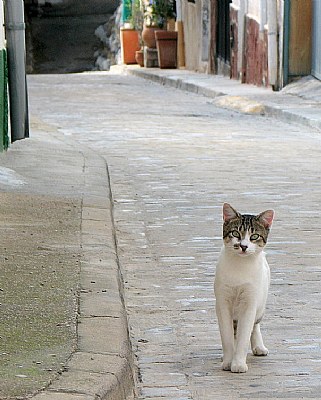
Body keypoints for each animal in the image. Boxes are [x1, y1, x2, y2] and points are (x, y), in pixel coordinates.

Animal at [214, 202, 274, 374]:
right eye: (235, 233)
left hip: (260, 306)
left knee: (255, 325)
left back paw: (259, 346)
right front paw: (228, 361)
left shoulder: (249, 302)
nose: (243, 246)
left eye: (254, 236)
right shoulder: (222, 302)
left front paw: (239, 363)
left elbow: (244, 335)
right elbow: (227, 336)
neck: (240, 267)